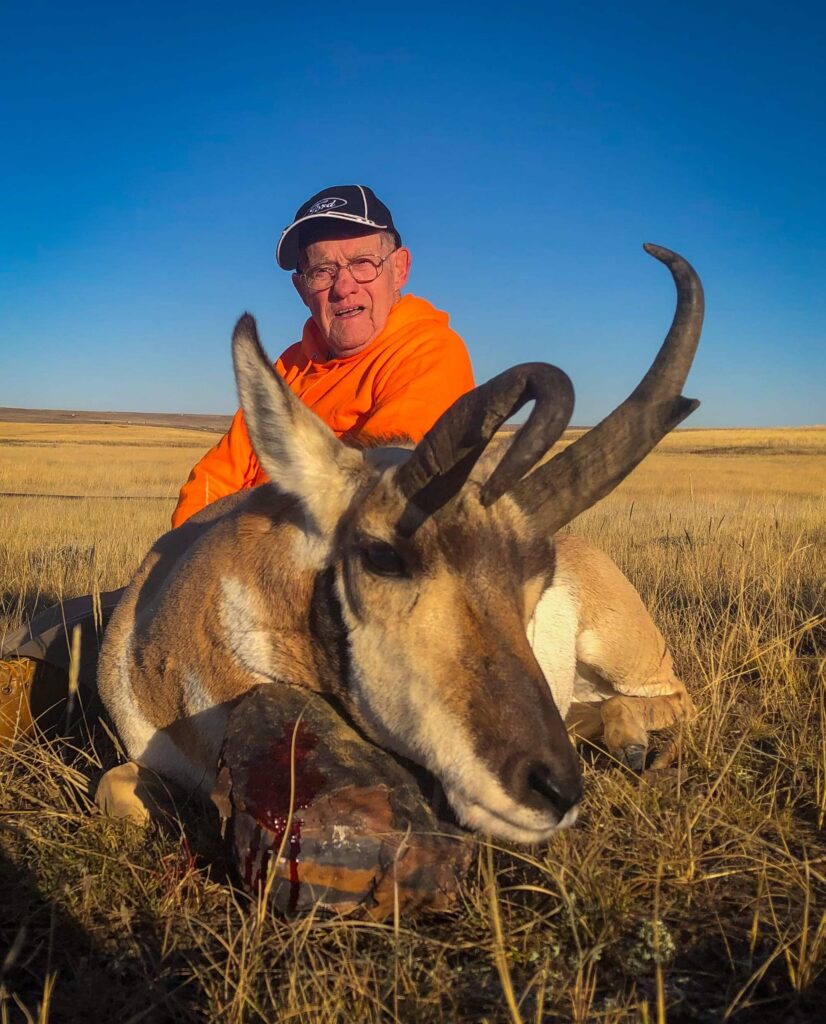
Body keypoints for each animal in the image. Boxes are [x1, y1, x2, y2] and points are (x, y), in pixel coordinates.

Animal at [97, 244, 703, 844]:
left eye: (538, 578)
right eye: (383, 557)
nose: (555, 788)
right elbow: (113, 791)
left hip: (621, 654)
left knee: (673, 696)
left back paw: (631, 743)